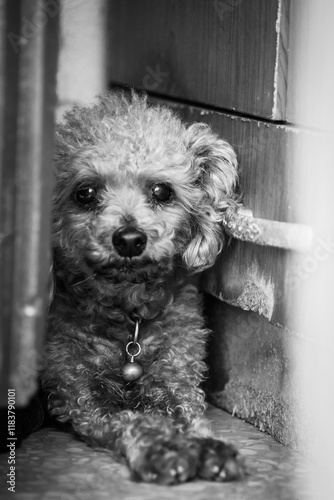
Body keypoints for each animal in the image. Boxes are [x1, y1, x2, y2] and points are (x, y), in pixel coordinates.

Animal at [42, 91, 245, 484]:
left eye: (162, 191)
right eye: (85, 193)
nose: (129, 240)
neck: (128, 315)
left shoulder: (176, 376)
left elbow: (188, 415)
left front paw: (208, 447)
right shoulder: (81, 395)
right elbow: (133, 420)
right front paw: (164, 449)